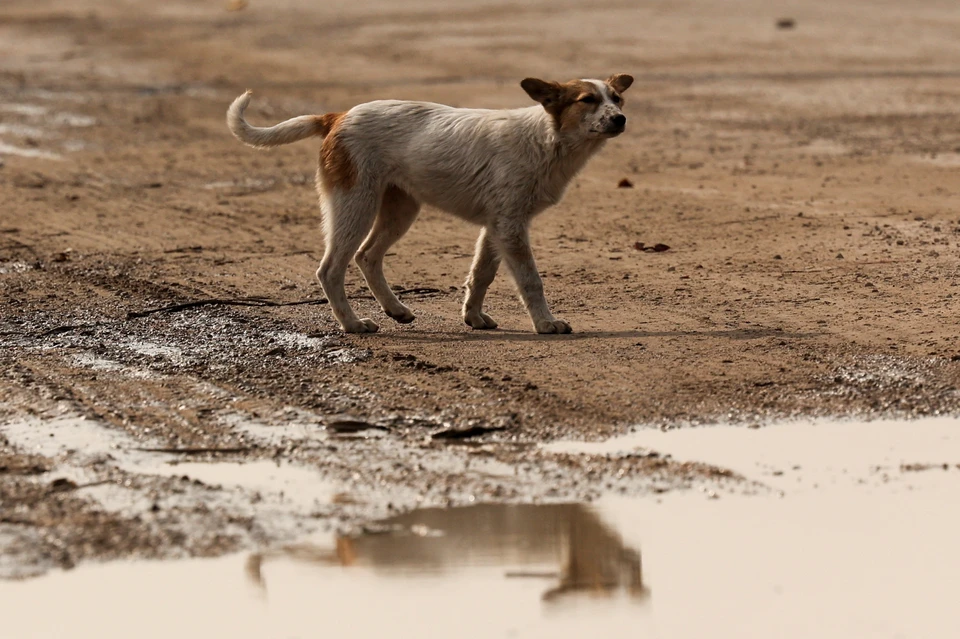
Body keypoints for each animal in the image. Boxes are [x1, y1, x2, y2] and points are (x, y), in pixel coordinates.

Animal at [224, 74, 632, 336]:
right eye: (587, 100)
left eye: (617, 98)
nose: (621, 119)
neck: (547, 139)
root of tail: (337, 117)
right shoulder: (511, 229)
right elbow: (531, 281)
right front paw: (545, 323)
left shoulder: (498, 227)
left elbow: (480, 275)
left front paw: (473, 317)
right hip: (354, 207)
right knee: (330, 270)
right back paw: (352, 324)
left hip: (400, 210)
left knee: (367, 256)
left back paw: (395, 309)